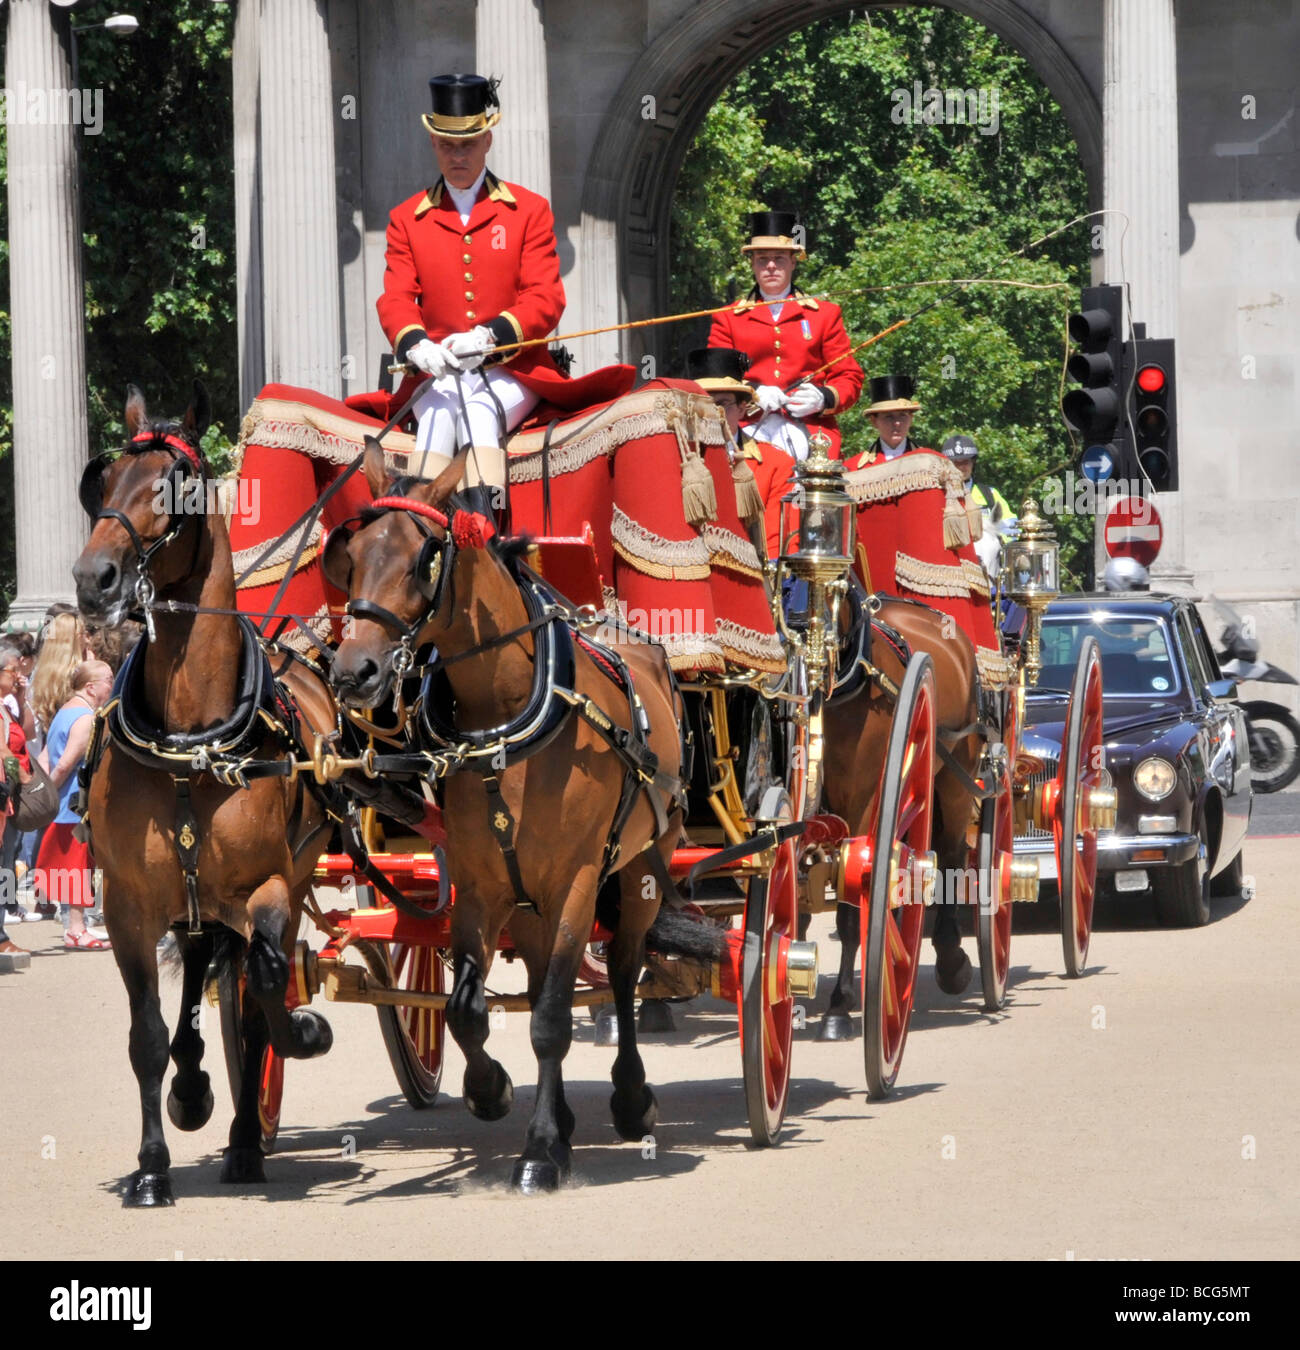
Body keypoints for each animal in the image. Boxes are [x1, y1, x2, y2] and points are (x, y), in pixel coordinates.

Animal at [70, 386, 353, 1209]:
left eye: (175, 488)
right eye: (104, 481)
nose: (93, 577)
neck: (190, 739)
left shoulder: (268, 889)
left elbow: (267, 994)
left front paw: (303, 1036)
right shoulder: (127, 905)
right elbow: (146, 1036)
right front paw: (152, 1166)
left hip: (268, 887)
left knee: (249, 982)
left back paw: (244, 1133)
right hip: (188, 898)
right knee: (200, 967)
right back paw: (195, 1087)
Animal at [325, 440, 712, 1193]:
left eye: (423, 557)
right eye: (350, 554)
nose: (354, 672)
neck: (503, 715)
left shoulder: (576, 881)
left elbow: (555, 1020)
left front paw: (537, 1155)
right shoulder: (481, 885)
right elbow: (468, 1010)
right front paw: (493, 1092)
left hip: (640, 872)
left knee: (624, 971)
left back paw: (630, 1100)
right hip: (530, 900)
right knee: (537, 983)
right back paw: (560, 1119)